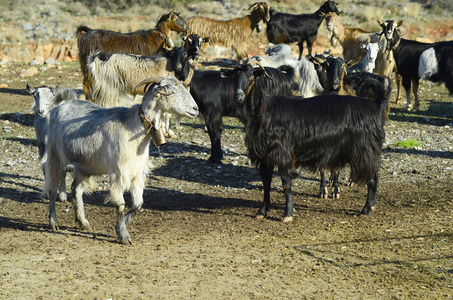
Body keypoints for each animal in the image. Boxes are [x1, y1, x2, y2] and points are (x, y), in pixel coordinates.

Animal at [42, 76, 198, 245]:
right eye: (171, 92)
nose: (195, 109)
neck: (134, 130)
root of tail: (60, 107)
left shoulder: (137, 173)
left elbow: (138, 204)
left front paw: (123, 224)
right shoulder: (118, 173)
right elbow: (121, 205)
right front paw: (123, 235)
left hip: (84, 166)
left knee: (75, 189)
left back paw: (83, 222)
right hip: (56, 159)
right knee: (52, 189)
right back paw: (53, 222)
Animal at [221, 64, 386, 221]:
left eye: (251, 76)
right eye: (234, 77)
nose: (239, 96)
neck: (264, 112)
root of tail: (375, 105)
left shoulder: (284, 154)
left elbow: (286, 185)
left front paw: (287, 214)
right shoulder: (264, 157)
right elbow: (266, 184)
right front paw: (262, 211)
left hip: (365, 149)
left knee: (373, 178)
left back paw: (366, 209)